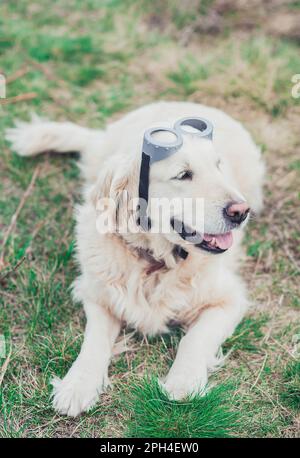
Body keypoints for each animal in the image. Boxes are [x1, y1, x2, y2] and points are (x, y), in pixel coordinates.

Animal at [6, 102, 264, 416]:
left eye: (218, 166)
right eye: (183, 175)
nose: (241, 212)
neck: (155, 262)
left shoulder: (228, 299)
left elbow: (195, 338)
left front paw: (184, 380)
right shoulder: (97, 295)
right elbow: (93, 341)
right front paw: (77, 384)